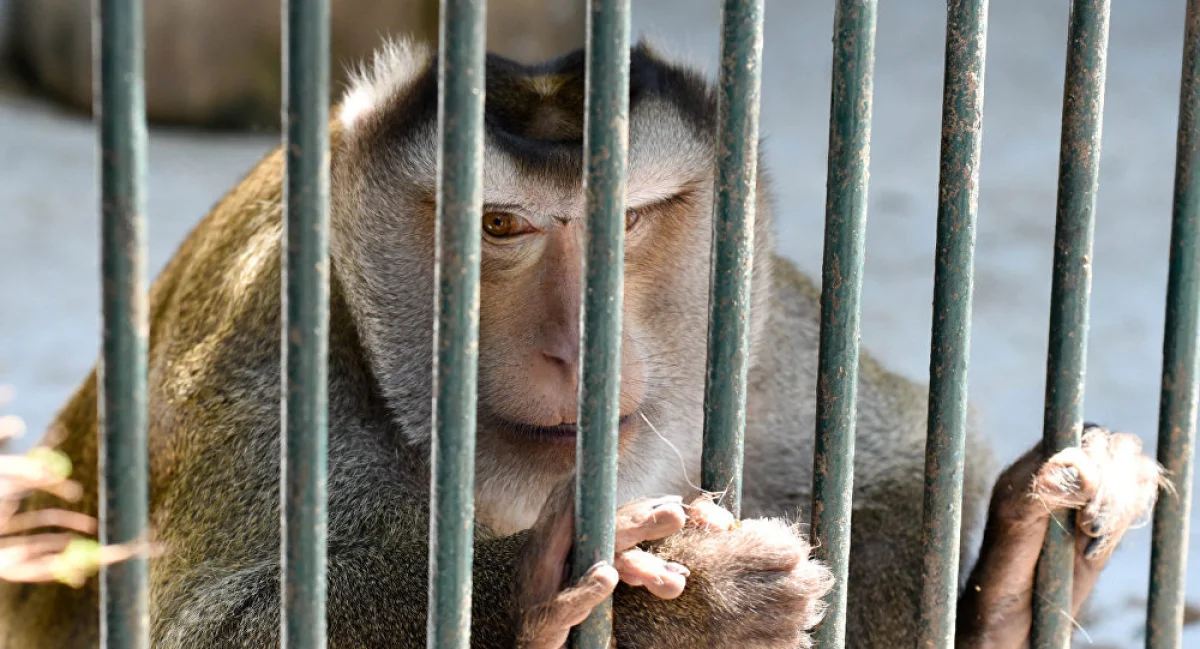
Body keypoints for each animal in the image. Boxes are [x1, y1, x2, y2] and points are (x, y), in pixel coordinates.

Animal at [0, 39, 1166, 647]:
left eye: (633, 221)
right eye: (500, 227)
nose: (577, 343)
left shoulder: (762, 328)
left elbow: (897, 467)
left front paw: (1001, 589)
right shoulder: (276, 356)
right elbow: (228, 626)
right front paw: (630, 601)